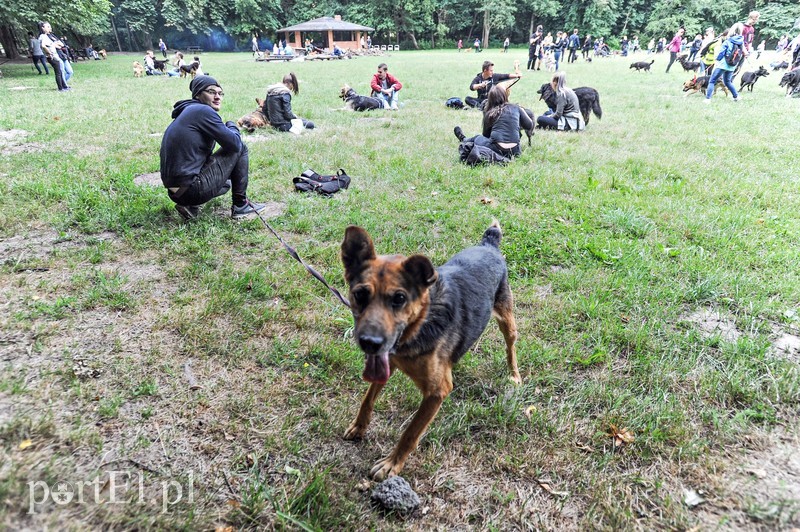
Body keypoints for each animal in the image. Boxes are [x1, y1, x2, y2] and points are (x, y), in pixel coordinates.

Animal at [340, 222, 520, 480]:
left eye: (399, 298)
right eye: (360, 294)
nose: (369, 343)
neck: (420, 322)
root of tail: (489, 243)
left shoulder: (437, 392)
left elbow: (411, 433)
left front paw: (391, 464)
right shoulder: (386, 362)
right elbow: (368, 399)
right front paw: (359, 427)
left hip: (507, 319)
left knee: (511, 346)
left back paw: (514, 375)